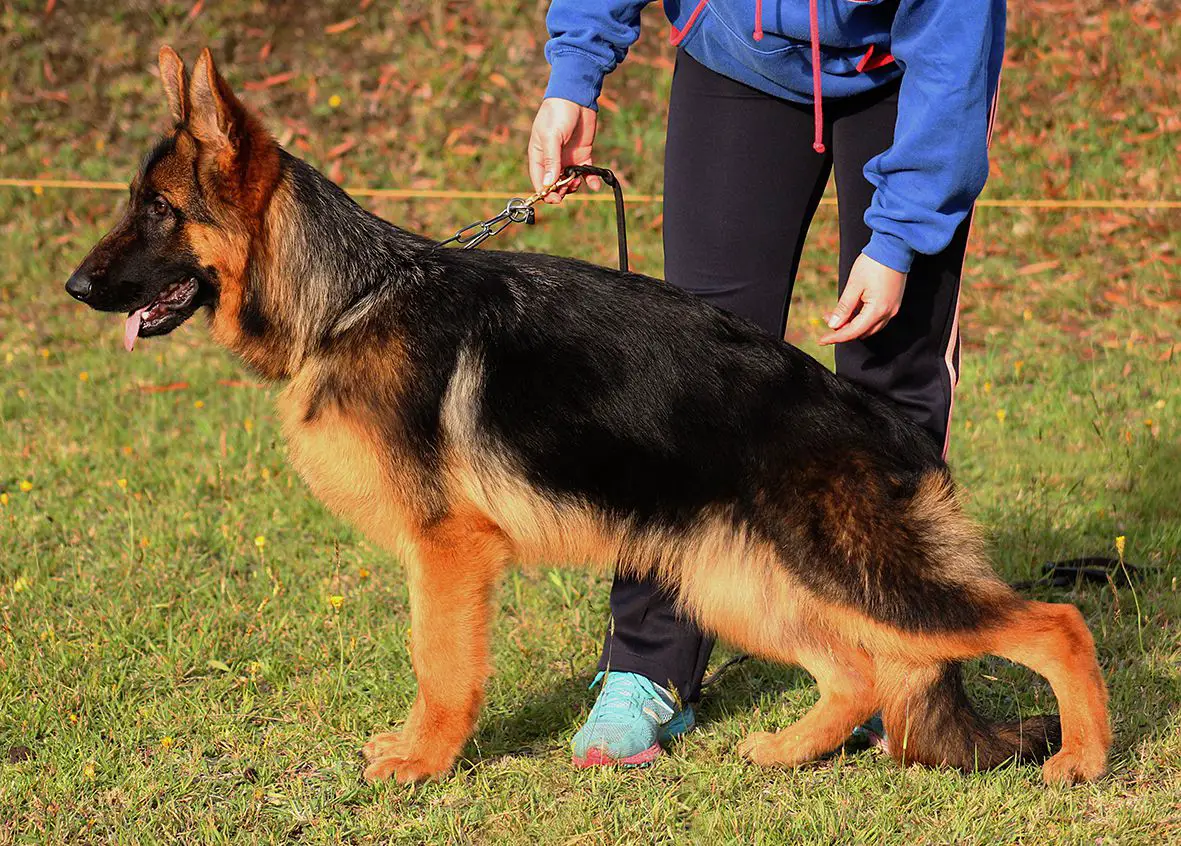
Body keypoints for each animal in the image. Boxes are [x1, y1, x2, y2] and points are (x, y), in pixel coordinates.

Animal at [69, 47, 1110, 784]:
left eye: (159, 210)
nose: (75, 287)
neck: (349, 299)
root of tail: (885, 426)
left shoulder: (447, 552)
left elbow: (438, 665)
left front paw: (423, 761)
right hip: (741, 583)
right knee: (858, 673)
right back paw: (786, 750)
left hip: (856, 576)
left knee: (1052, 623)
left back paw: (1082, 760)